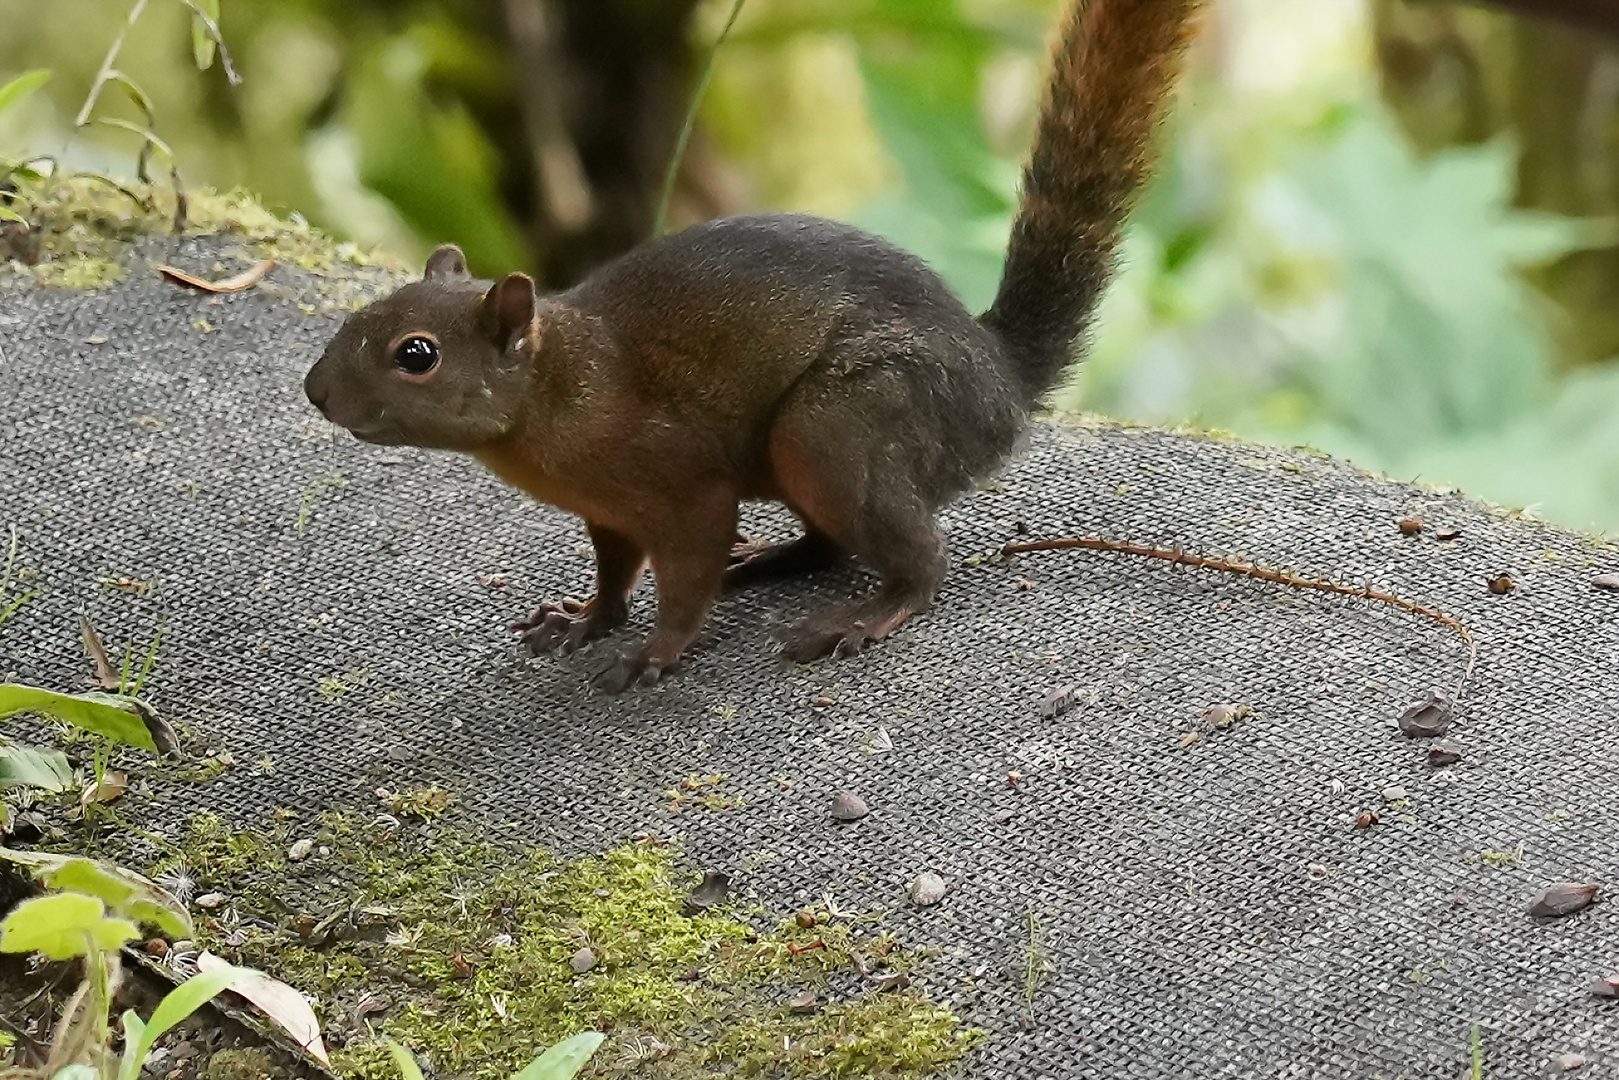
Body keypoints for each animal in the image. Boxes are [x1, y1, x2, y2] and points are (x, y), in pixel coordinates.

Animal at [305, 0, 1204, 693]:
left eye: (415, 355)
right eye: (361, 317)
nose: (314, 391)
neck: (563, 382)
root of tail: (1001, 381)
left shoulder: (678, 479)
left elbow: (686, 572)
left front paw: (654, 652)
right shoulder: (607, 511)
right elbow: (612, 570)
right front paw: (585, 619)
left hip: (839, 424)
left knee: (918, 557)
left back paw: (865, 613)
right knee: (828, 544)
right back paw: (770, 560)